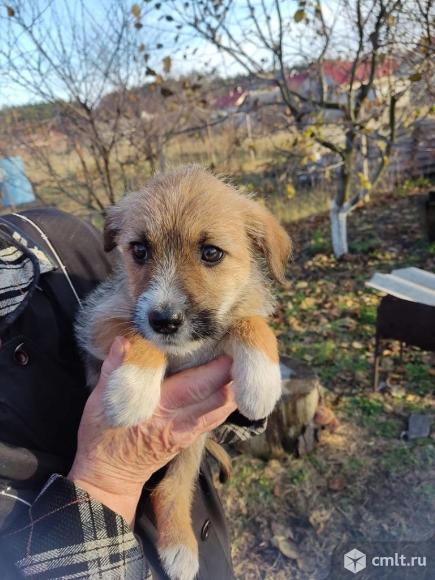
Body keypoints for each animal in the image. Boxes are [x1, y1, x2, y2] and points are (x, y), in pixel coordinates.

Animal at [75, 165, 291, 580]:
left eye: (211, 253)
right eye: (139, 250)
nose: (164, 320)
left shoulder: (226, 326)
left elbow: (252, 322)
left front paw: (261, 382)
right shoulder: (99, 322)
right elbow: (136, 332)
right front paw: (130, 391)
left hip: (191, 444)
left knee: (170, 489)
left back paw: (179, 548)